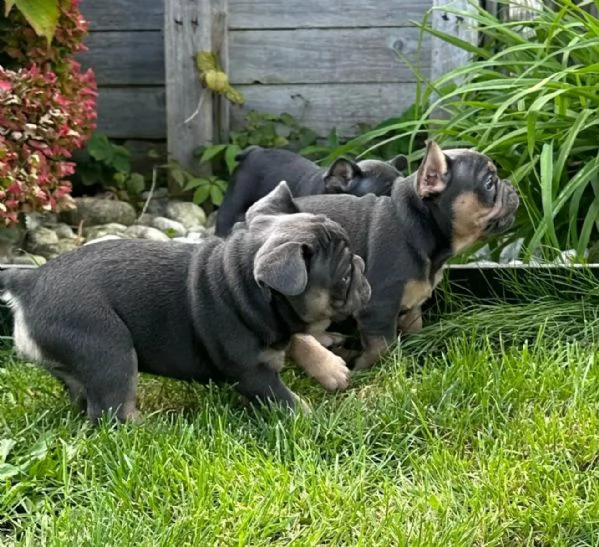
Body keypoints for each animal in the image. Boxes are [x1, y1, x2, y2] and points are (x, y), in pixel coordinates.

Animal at [0, 182, 370, 422]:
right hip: (109, 349)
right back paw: (154, 430)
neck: (243, 287)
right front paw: (312, 418)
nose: (362, 266)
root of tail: (27, 281)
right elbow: (286, 400)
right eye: (344, 278)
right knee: (111, 412)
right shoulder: (253, 374)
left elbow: (299, 339)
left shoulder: (279, 327)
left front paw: (330, 367)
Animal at [292, 141, 516, 372]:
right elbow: (381, 347)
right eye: (489, 184)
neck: (419, 225)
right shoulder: (378, 308)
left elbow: (414, 329)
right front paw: (369, 371)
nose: (511, 185)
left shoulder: (412, 306)